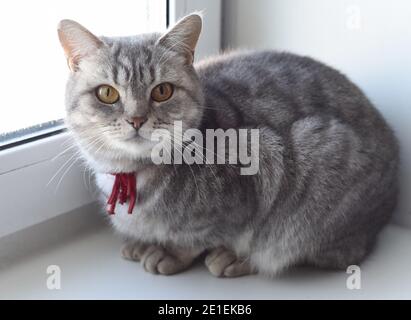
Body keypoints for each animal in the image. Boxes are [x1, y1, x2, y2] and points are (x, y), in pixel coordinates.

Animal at [57, 13, 400, 278]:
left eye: (162, 91)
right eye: (107, 94)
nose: (137, 119)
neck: (131, 175)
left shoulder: (257, 169)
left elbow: (199, 238)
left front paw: (170, 252)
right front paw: (143, 241)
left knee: (315, 252)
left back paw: (236, 258)